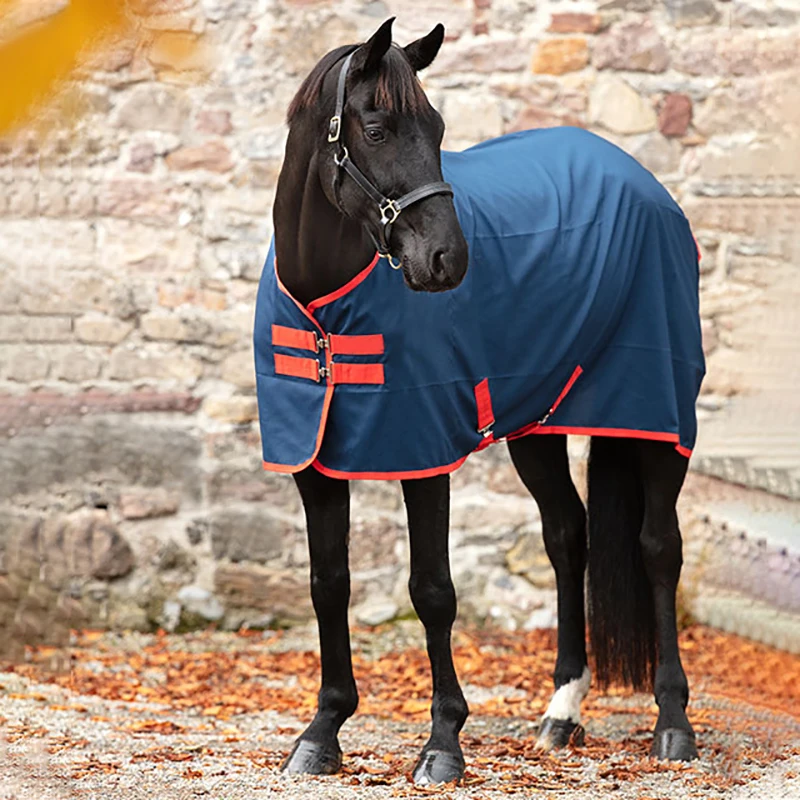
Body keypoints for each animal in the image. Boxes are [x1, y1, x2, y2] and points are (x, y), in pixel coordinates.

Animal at [254, 17, 705, 785]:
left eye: (437, 127)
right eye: (375, 128)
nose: (448, 261)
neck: (325, 307)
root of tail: (642, 181)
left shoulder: (422, 452)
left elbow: (432, 591)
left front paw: (443, 741)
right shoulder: (313, 464)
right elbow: (328, 583)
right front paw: (323, 730)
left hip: (655, 416)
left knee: (658, 547)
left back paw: (673, 722)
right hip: (537, 425)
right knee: (568, 536)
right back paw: (562, 712)